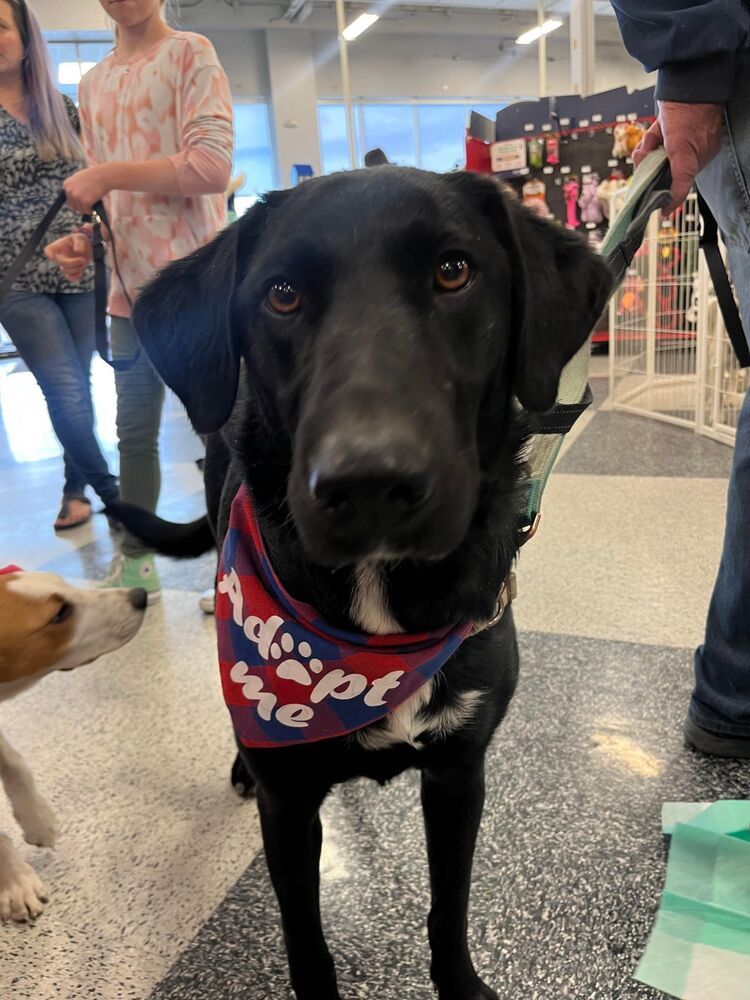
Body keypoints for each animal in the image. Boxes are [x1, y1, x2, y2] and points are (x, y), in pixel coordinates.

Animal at [114, 168, 612, 996]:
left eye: (454, 270)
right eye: (282, 293)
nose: (370, 481)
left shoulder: (458, 773)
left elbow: (449, 907)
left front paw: (462, 985)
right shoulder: (288, 808)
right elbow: (305, 940)